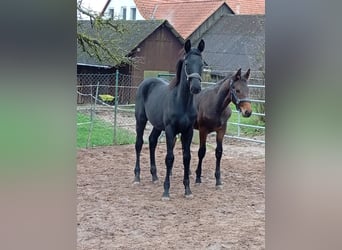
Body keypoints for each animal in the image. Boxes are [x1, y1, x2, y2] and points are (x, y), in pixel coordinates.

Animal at [133, 39, 203, 199]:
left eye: (202, 63)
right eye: (186, 63)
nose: (196, 87)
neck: (181, 102)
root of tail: (145, 82)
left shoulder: (188, 131)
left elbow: (187, 157)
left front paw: (188, 190)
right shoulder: (170, 130)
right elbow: (169, 158)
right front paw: (166, 191)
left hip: (158, 126)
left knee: (152, 141)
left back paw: (154, 176)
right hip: (140, 120)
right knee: (139, 144)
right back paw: (137, 177)